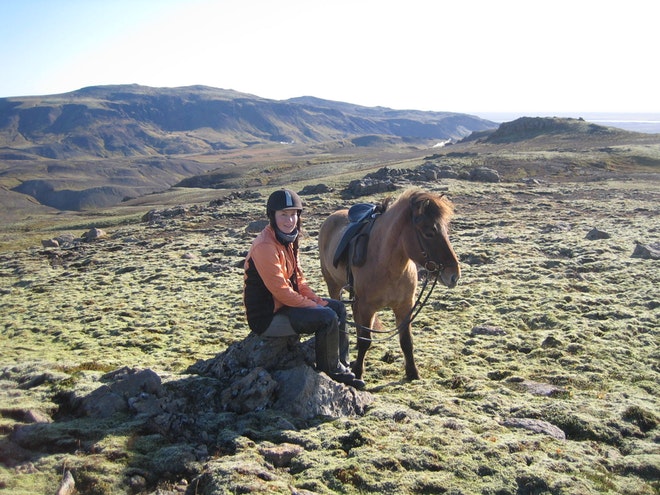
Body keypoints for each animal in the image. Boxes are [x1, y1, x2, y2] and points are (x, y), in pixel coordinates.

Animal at [320, 188, 458, 382]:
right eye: (429, 232)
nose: (454, 276)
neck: (387, 265)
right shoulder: (367, 307)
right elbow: (365, 341)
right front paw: (358, 373)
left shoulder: (404, 307)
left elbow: (406, 341)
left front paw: (412, 372)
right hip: (334, 286)